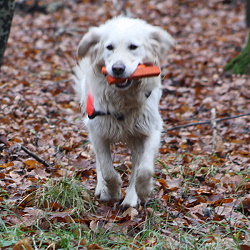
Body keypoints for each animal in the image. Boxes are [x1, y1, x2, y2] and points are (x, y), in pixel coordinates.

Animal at [73, 16, 175, 207]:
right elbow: (107, 170)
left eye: (133, 47)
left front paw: (143, 191)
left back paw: (130, 199)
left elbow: (144, 169)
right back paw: (103, 189)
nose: (117, 68)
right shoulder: (98, 131)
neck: (123, 99)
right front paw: (112, 191)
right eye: (109, 47)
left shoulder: (150, 130)